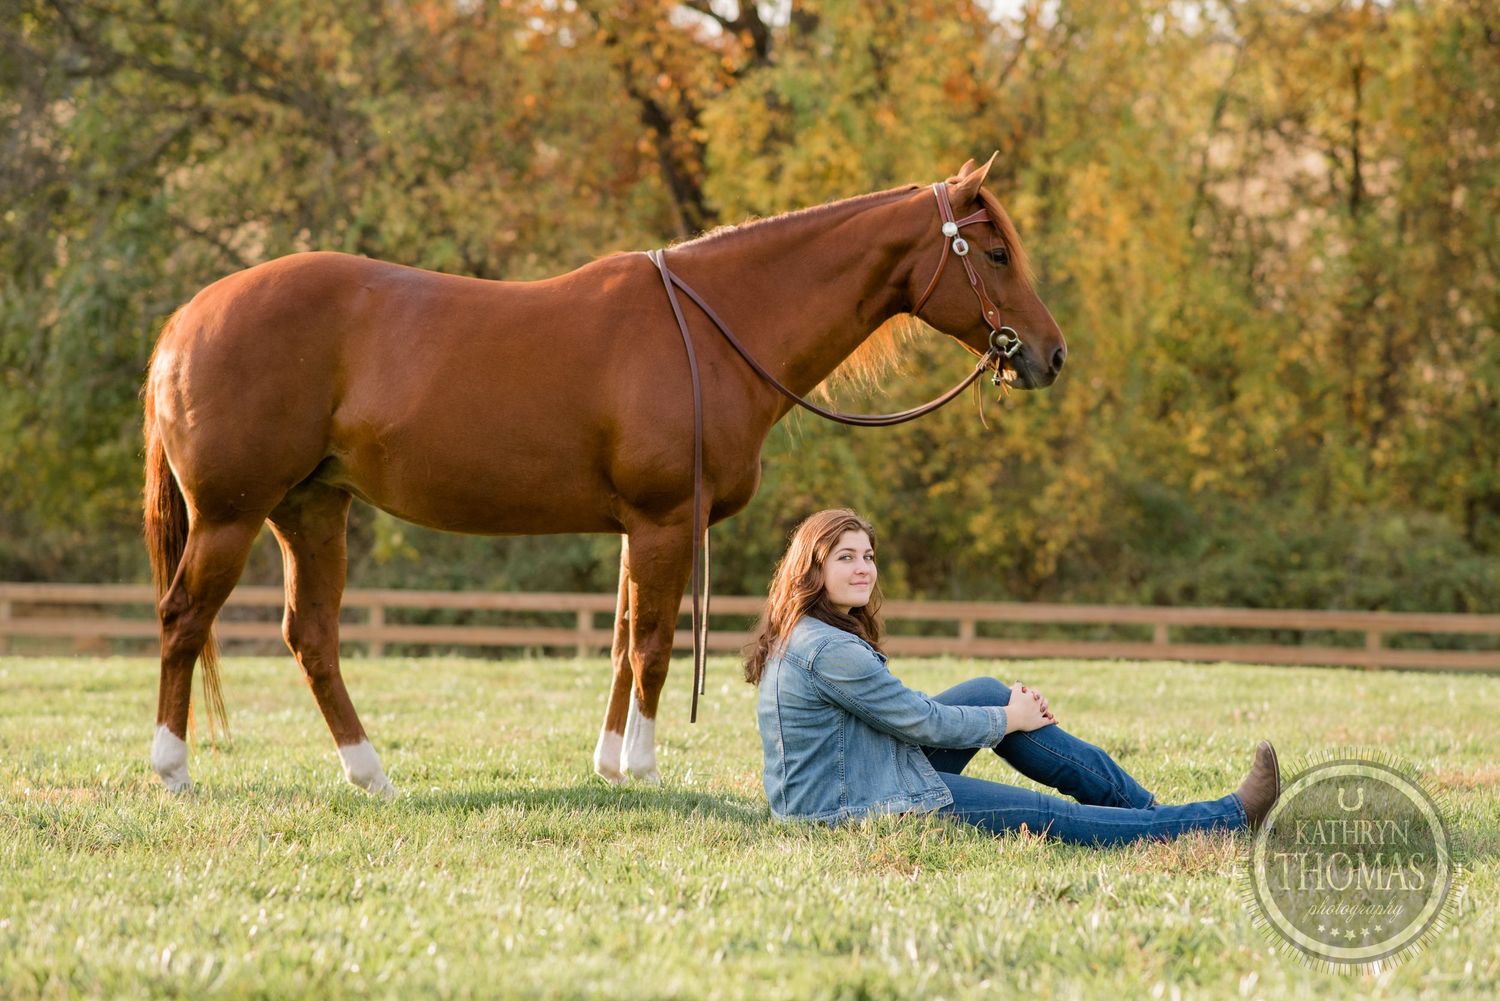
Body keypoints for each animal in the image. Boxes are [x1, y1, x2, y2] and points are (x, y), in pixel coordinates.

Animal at [142, 156, 1066, 796]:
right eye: (993, 251)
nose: (1050, 355)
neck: (713, 329)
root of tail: (188, 318)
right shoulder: (664, 522)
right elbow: (653, 645)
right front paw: (647, 768)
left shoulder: (637, 528)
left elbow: (621, 640)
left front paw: (610, 763)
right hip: (231, 516)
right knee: (185, 619)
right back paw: (173, 769)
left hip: (311, 509)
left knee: (312, 637)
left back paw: (370, 775)